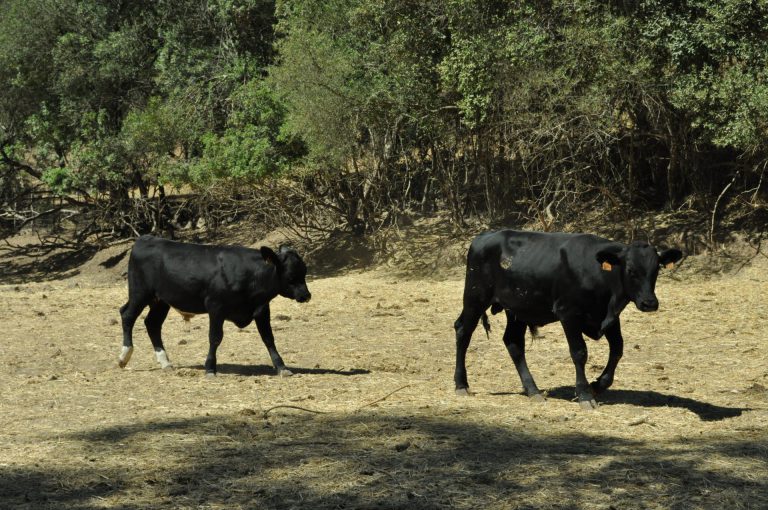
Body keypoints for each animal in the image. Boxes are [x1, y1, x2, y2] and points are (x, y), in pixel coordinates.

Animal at [117, 235, 308, 374]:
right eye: (291, 276)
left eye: (304, 272)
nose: (306, 295)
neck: (249, 274)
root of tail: (145, 239)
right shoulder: (216, 307)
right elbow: (215, 337)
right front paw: (210, 367)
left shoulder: (261, 309)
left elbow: (268, 338)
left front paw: (282, 367)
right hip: (140, 293)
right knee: (127, 315)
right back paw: (124, 356)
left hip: (161, 301)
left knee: (152, 324)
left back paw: (165, 362)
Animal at [452, 231, 680, 410]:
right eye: (631, 270)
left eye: (656, 270)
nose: (650, 303)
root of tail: (483, 236)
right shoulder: (568, 314)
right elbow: (579, 352)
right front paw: (585, 394)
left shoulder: (610, 318)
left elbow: (617, 349)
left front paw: (597, 385)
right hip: (475, 297)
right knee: (463, 330)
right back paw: (461, 384)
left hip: (517, 309)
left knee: (513, 342)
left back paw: (533, 390)